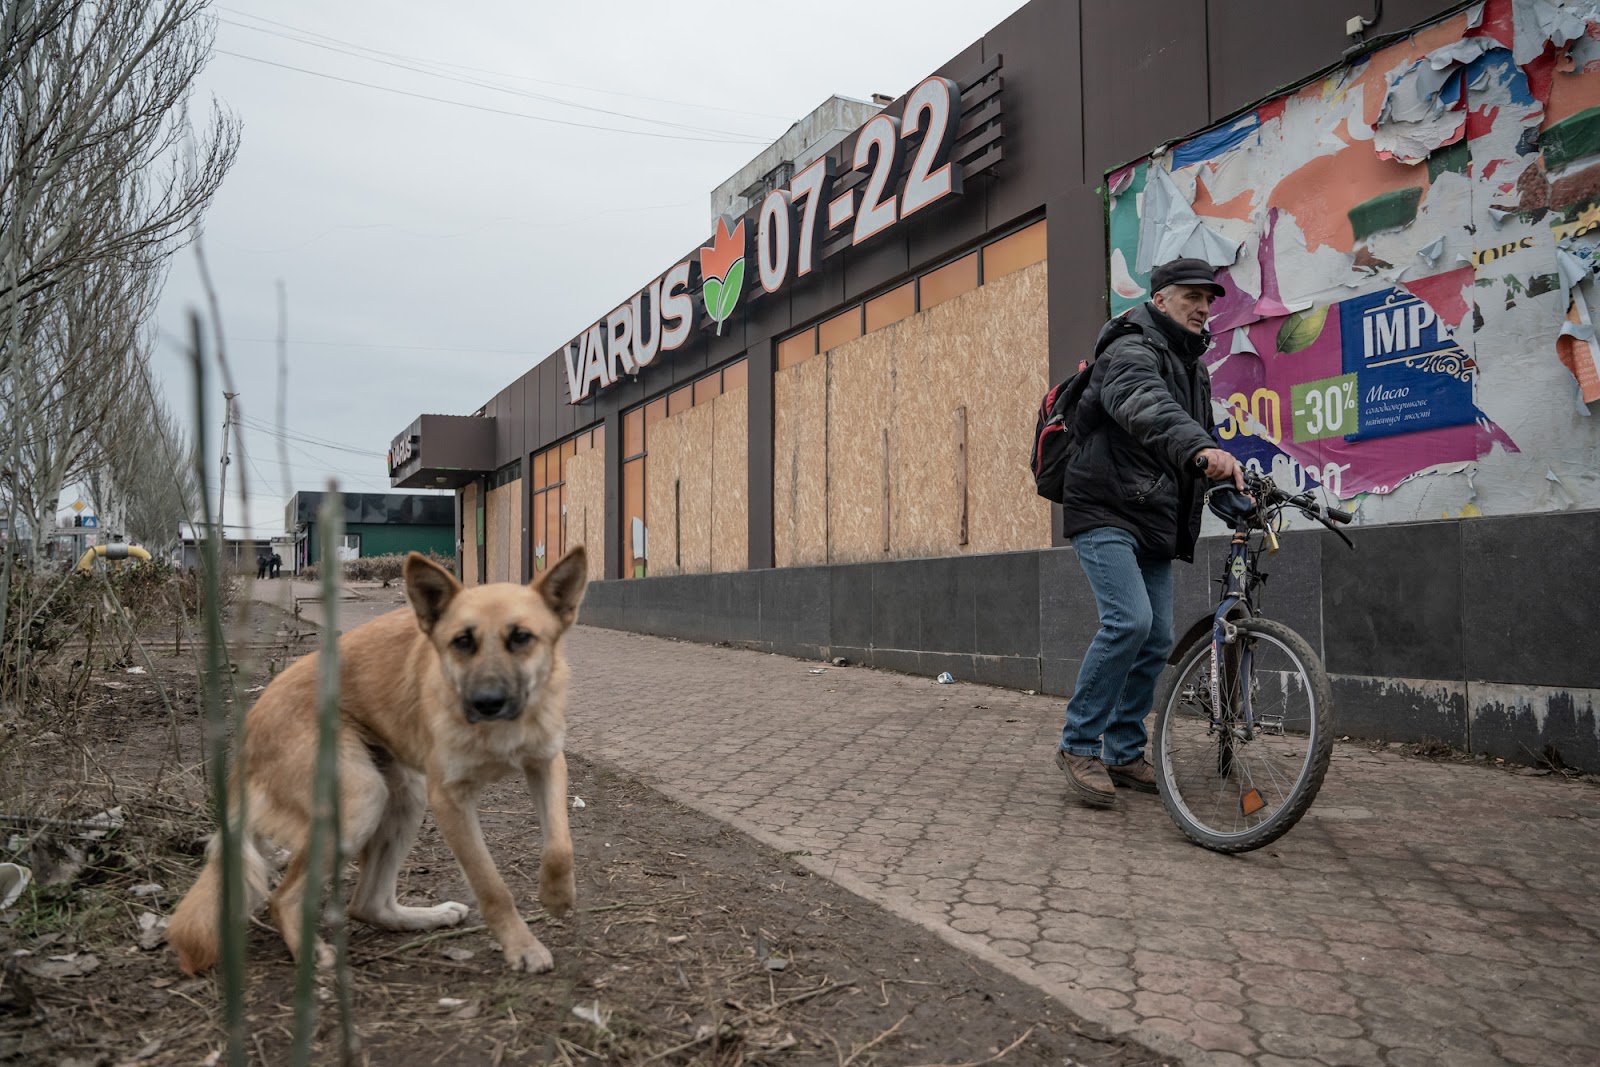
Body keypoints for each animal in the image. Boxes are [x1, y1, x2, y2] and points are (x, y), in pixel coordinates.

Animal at [167, 550, 588, 979]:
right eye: (462, 641)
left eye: (521, 637)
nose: (486, 703)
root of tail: (247, 734)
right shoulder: (450, 800)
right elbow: (491, 885)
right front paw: (522, 946)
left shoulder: (547, 764)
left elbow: (560, 846)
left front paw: (556, 895)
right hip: (360, 800)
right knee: (283, 898)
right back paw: (310, 953)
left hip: (403, 798)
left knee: (367, 904)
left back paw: (428, 917)